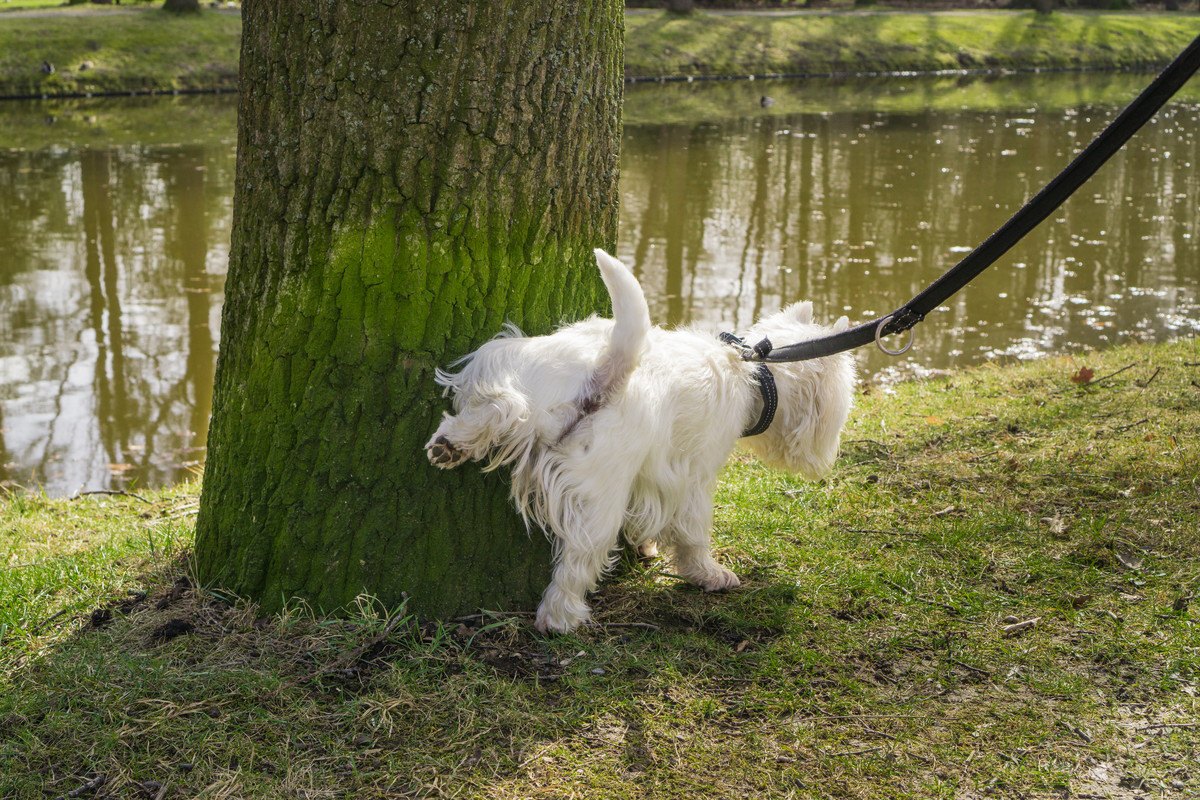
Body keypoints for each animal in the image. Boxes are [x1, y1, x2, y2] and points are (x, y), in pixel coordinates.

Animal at [422, 250, 854, 633]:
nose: (827, 459)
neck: (754, 370)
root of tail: (607, 371)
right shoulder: (694, 477)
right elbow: (693, 533)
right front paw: (709, 574)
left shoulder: (653, 476)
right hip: (600, 491)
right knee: (579, 558)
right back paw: (559, 618)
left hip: (520, 370)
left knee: (502, 408)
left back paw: (451, 443)